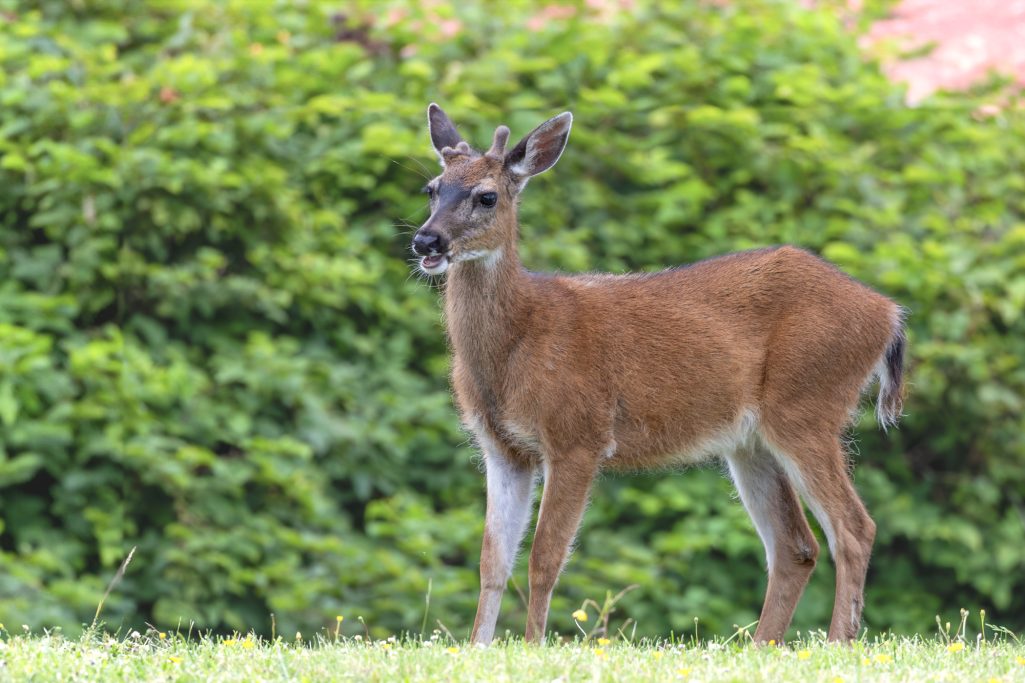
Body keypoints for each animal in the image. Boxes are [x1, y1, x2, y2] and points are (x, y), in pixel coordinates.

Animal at [407, 105, 906, 644]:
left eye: (487, 196)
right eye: (432, 188)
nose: (426, 239)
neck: (517, 343)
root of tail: (888, 313)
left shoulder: (578, 434)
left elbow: (545, 558)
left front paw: (533, 646)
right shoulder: (502, 448)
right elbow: (492, 561)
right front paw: (478, 647)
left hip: (807, 405)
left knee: (854, 528)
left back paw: (836, 643)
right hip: (750, 442)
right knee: (795, 546)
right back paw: (761, 648)